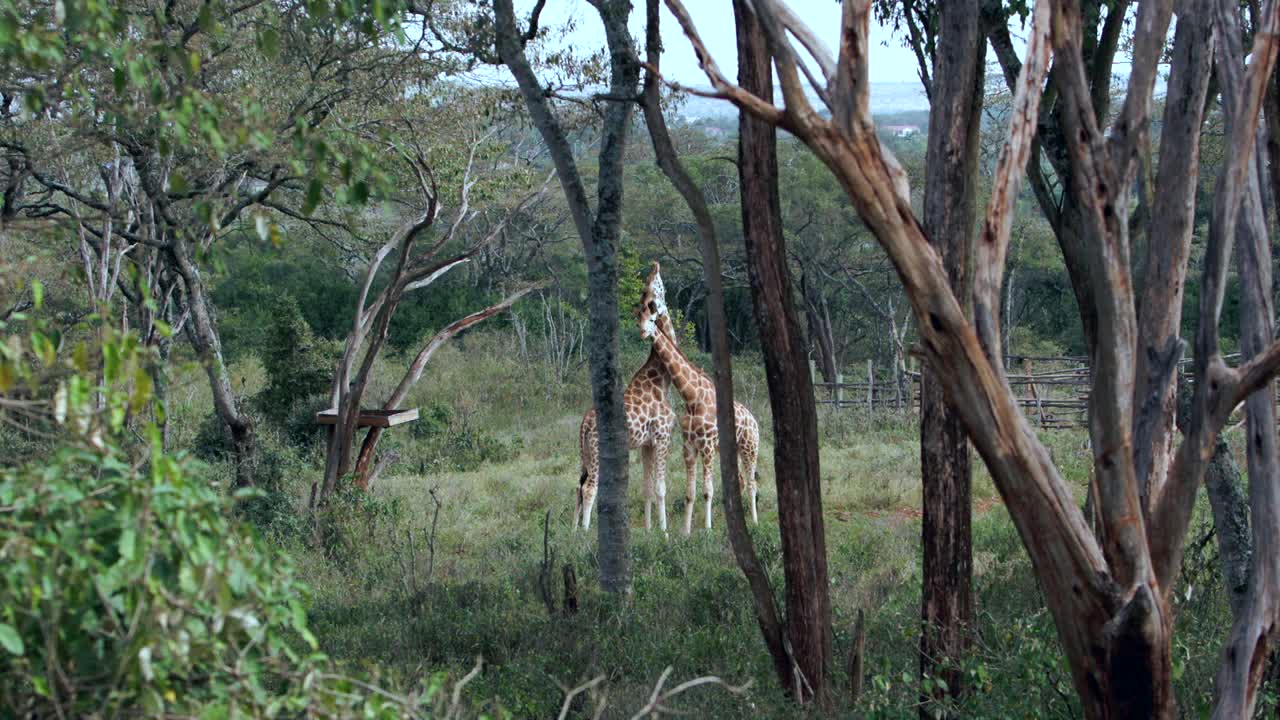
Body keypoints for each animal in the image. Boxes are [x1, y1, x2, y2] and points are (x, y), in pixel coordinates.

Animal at [576, 262, 680, 527]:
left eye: (655, 287)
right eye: (649, 290)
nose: (650, 306)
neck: (661, 381)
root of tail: (584, 424)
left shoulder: (647, 444)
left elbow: (647, 488)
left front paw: (649, 530)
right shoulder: (663, 437)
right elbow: (661, 487)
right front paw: (665, 531)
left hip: (584, 452)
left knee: (578, 486)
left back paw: (573, 531)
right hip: (598, 451)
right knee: (589, 488)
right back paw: (585, 532)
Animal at [632, 265, 752, 532]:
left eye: (658, 288)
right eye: (638, 317)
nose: (643, 332)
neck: (691, 397)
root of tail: (753, 418)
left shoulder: (706, 445)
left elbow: (707, 491)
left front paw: (706, 530)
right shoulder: (689, 446)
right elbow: (690, 493)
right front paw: (686, 532)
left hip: (749, 446)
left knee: (751, 482)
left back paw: (755, 522)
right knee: (741, 481)